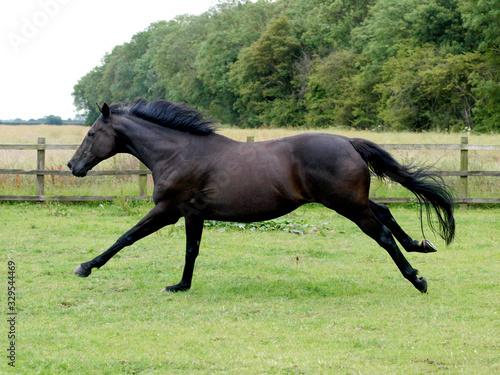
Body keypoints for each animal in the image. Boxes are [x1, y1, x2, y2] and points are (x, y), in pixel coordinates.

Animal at [68, 98, 456, 296]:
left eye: (91, 133)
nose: (73, 165)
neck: (178, 153)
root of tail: (348, 141)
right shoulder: (193, 214)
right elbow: (192, 251)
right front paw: (181, 285)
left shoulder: (168, 210)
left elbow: (126, 237)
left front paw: (86, 266)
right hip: (353, 201)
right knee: (386, 212)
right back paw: (422, 245)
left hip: (348, 205)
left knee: (383, 234)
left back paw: (417, 279)